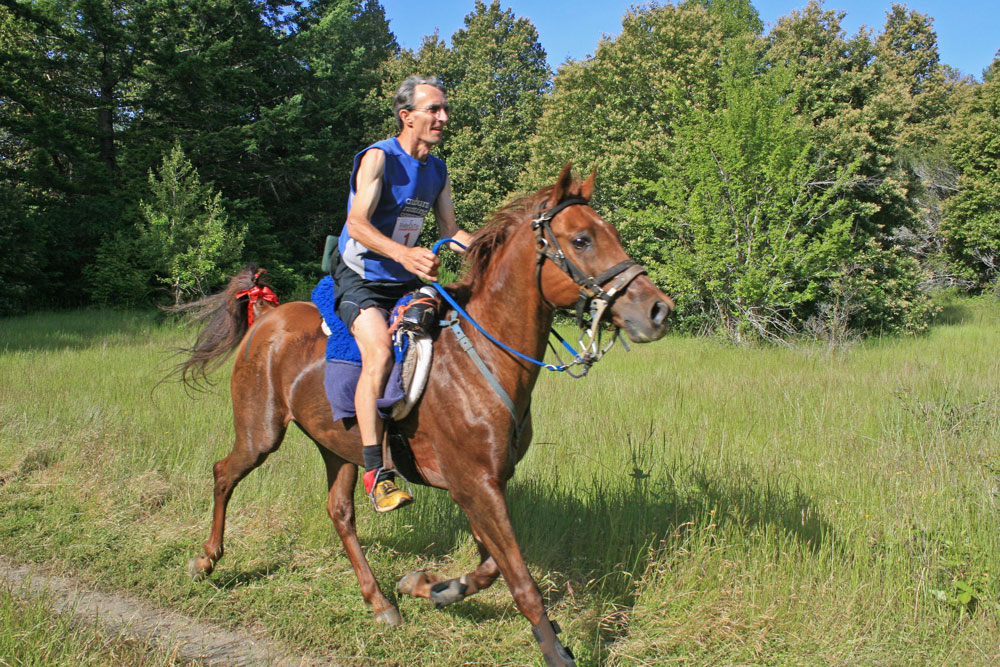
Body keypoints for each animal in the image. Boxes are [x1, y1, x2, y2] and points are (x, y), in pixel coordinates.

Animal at [174, 164, 672, 664]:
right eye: (582, 240)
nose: (658, 309)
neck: (485, 355)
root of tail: (267, 319)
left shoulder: (483, 485)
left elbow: (491, 567)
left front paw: (430, 586)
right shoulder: (475, 485)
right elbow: (519, 579)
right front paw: (554, 649)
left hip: (338, 445)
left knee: (340, 512)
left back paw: (379, 601)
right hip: (260, 433)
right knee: (224, 473)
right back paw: (206, 559)